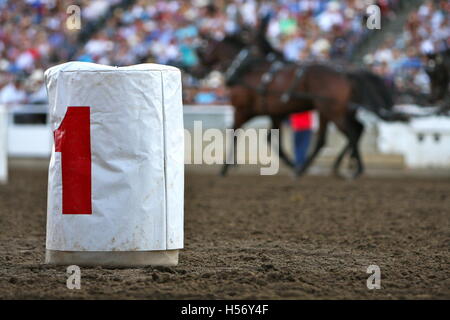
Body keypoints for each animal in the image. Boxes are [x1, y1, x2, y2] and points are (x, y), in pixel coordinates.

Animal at [195, 35, 402, 179]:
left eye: (205, 49)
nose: (196, 70)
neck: (247, 71)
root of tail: (345, 72)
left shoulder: (242, 110)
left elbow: (234, 133)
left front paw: (224, 167)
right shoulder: (275, 113)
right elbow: (271, 140)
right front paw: (292, 163)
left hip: (331, 110)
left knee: (350, 133)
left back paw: (353, 168)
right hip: (334, 111)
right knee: (350, 132)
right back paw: (323, 167)